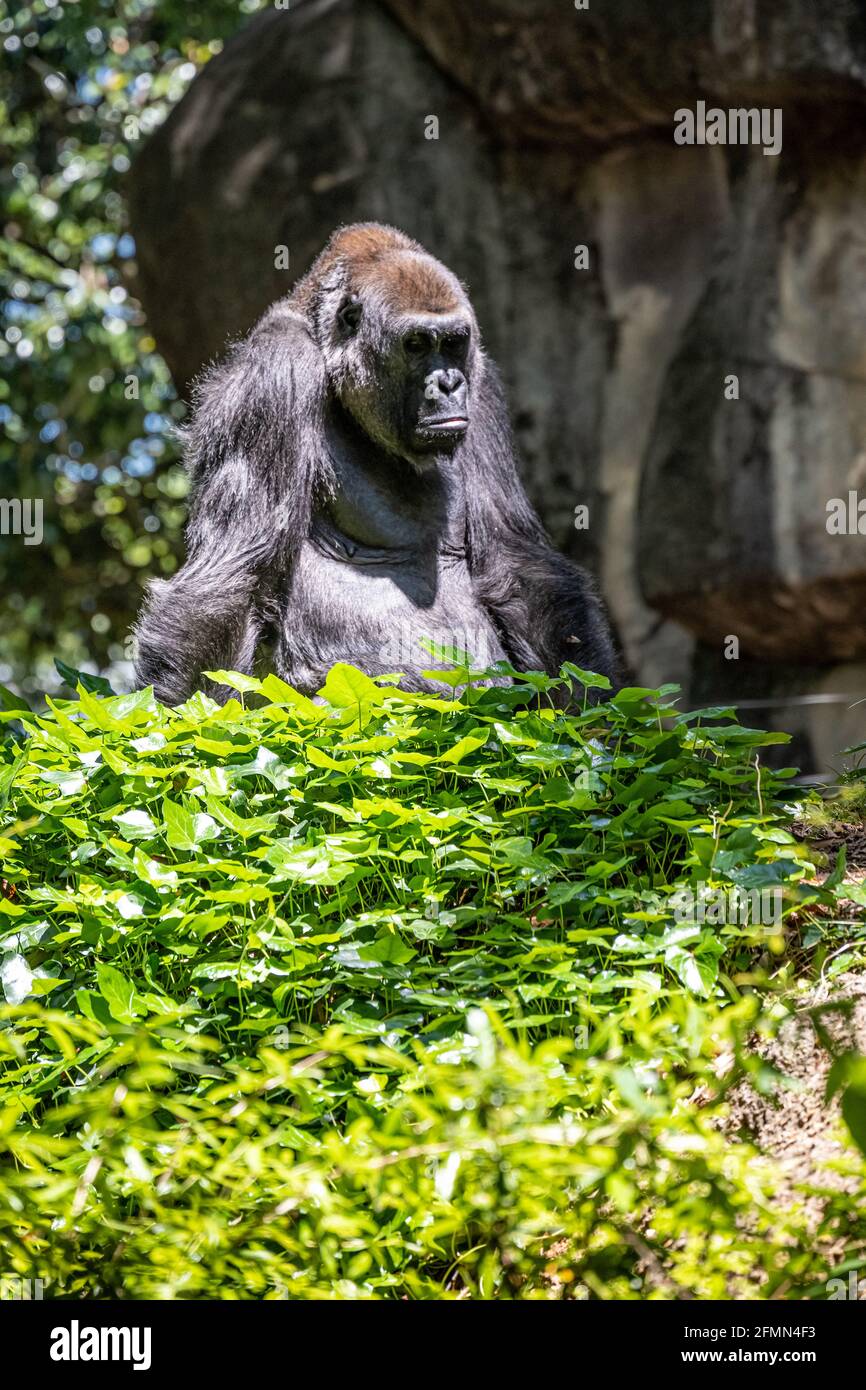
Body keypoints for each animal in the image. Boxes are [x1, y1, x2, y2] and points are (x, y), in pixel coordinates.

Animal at [134, 229, 617, 711]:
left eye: (453, 343)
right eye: (416, 344)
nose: (449, 384)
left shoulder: (483, 385)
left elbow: (516, 562)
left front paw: (594, 713)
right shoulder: (273, 370)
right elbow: (231, 580)